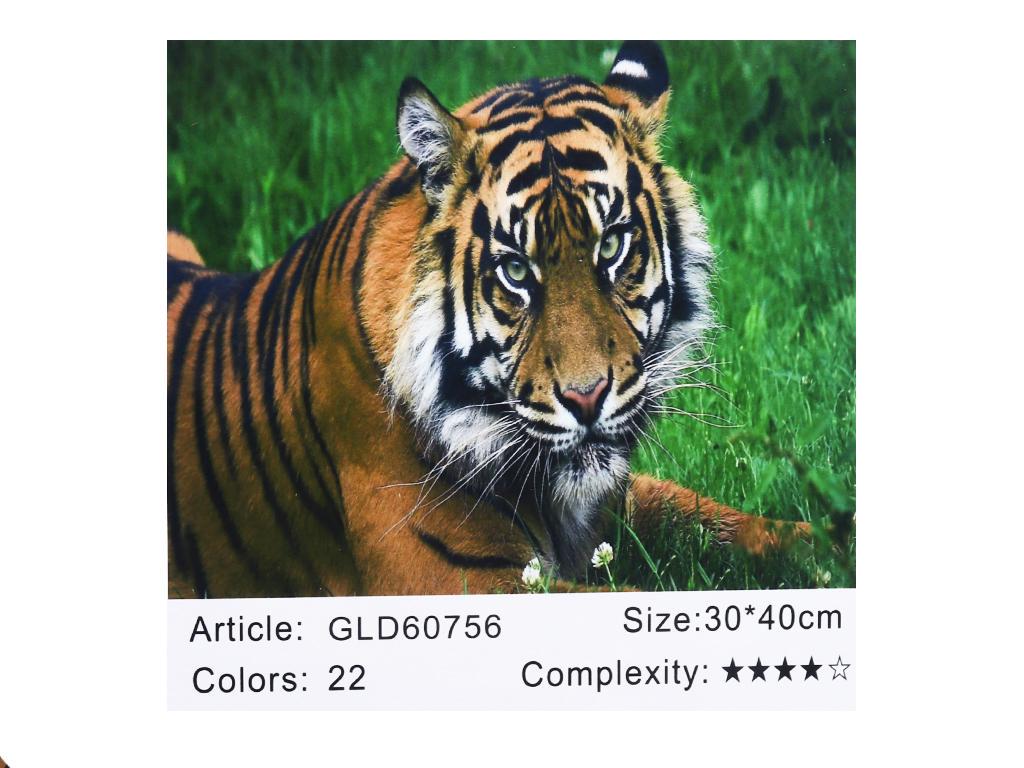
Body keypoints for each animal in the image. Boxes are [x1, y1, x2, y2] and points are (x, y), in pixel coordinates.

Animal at [167, 41, 809, 598]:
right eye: (517, 270)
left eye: (611, 245)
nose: (587, 399)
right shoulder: (453, 577)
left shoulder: (617, 498)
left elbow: (722, 520)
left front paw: (819, 546)